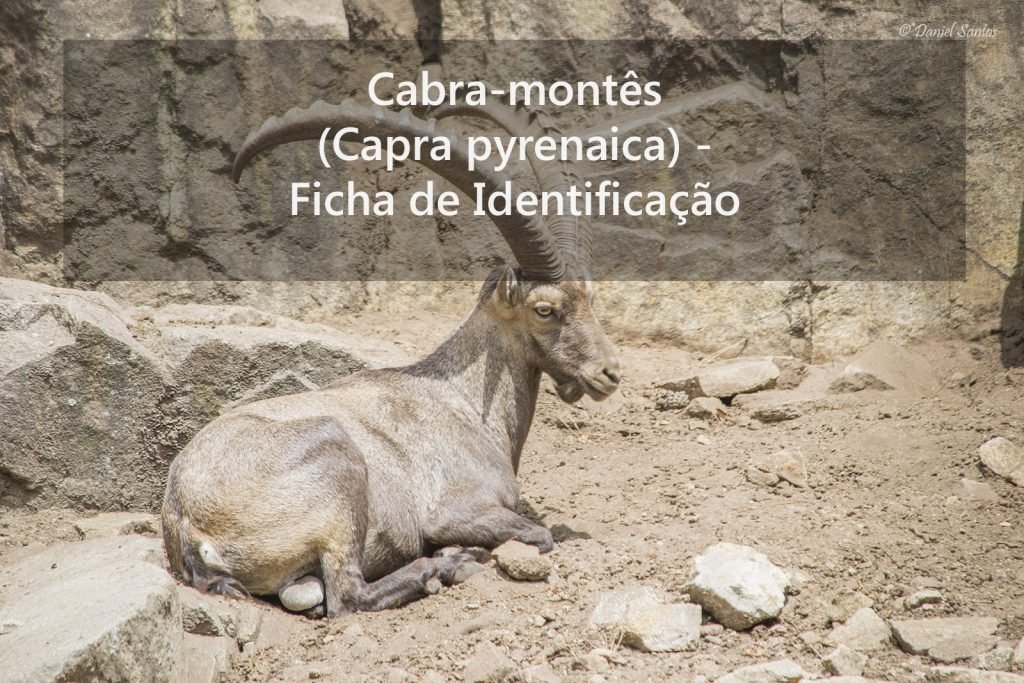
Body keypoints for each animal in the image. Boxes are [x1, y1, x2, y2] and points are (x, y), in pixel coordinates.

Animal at [161, 97, 620, 617]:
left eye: (590, 297)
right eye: (545, 309)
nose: (609, 373)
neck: (463, 402)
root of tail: (186, 523)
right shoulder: (455, 508)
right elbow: (538, 535)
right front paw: (460, 552)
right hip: (337, 466)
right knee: (346, 597)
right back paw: (449, 565)